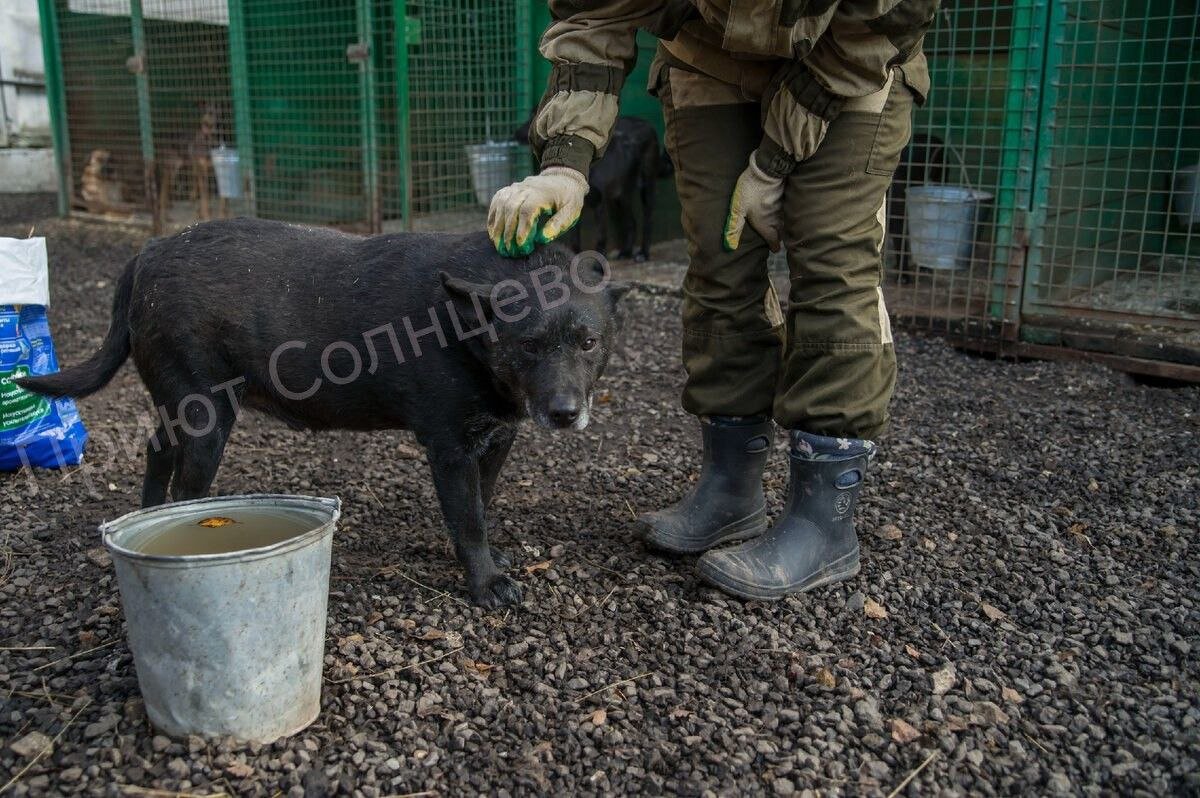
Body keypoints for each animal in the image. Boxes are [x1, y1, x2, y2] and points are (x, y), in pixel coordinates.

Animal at [21, 216, 628, 604]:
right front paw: (485, 585)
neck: (463, 327)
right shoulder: (450, 448)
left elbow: (481, 504)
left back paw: (142, 516)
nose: (564, 413)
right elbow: (470, 518)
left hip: (179, 406)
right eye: (528, 345)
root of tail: (149, 251)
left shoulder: (496, 439)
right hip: (206, 418)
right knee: (186, 493)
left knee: (154, 452)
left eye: (588, 343)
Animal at [516, 117, 672, 260]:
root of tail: (647, 124)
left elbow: (601, 237)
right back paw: (625, 252)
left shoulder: (600, 204)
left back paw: (643, 254)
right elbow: (574, 240)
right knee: (630, 222)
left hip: (646, 186)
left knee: (647, 219)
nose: (515, 134)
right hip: (620, 197)